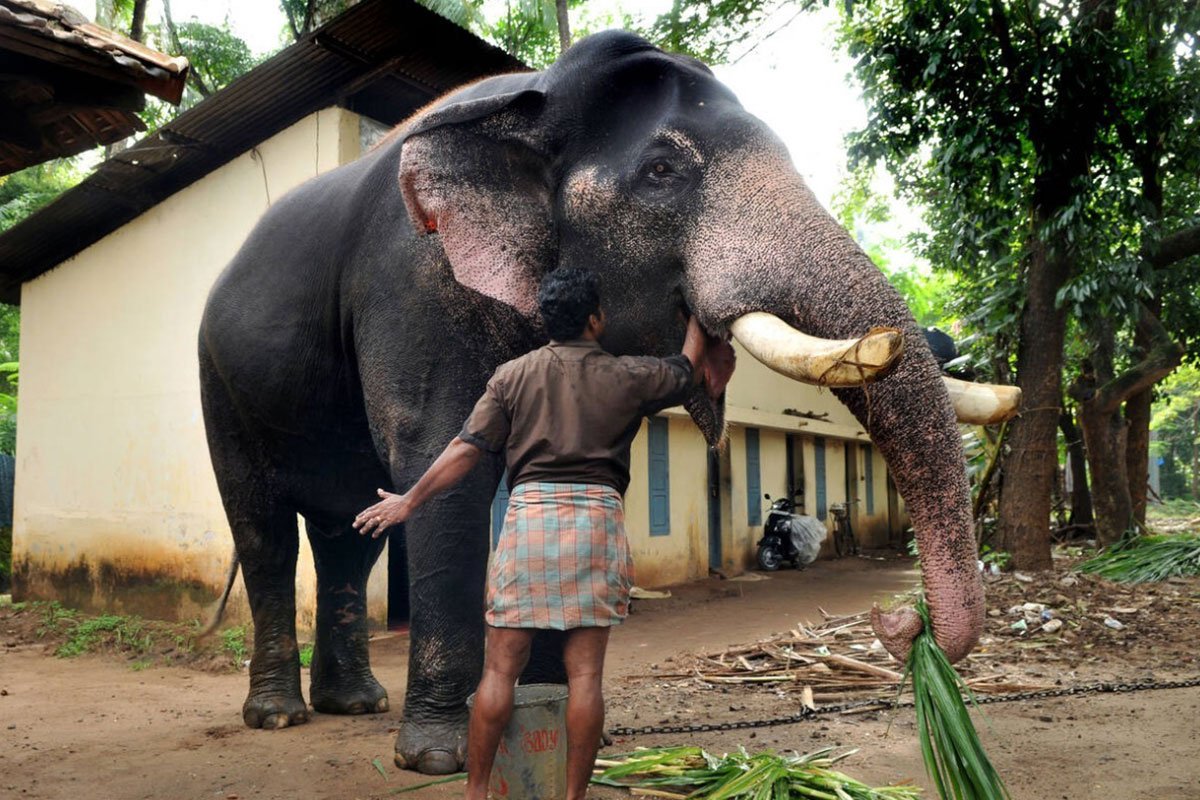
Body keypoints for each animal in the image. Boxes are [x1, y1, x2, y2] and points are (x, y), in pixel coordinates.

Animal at [199, 30, 1012, 775]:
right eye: (660, 172)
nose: (903, 622)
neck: (533, 97)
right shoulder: (415, 283)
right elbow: (440, 460)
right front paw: (439, 759)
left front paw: (553, 716)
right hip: (217, 381)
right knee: (265, 531)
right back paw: (278, 717)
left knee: (351, 535)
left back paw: (355, 704)